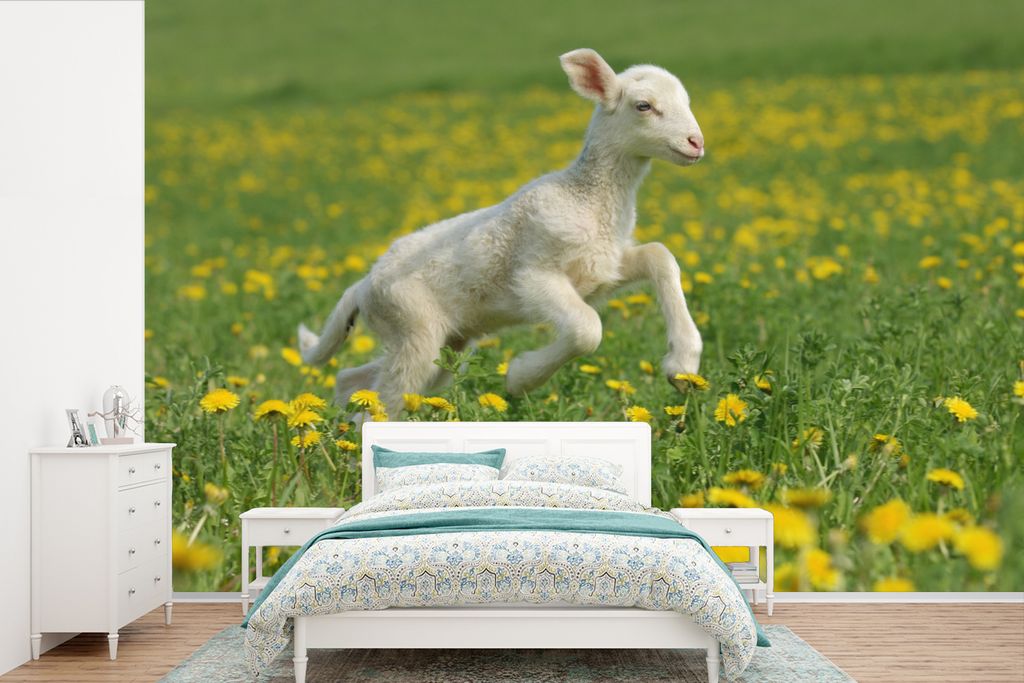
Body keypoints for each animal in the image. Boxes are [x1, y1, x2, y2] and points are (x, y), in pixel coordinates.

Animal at [298, 48, 705, 415]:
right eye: (643, 106)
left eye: (686, 101)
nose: (696, 143)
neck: (586, 198)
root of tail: (362, 286)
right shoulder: (534, 275)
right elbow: (587, 329)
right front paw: (520, 377)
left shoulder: (604, 271)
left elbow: (660, 256)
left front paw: (682, 367)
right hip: (412, 329)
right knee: (380, 404)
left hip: (443, 345)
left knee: (352, 382)